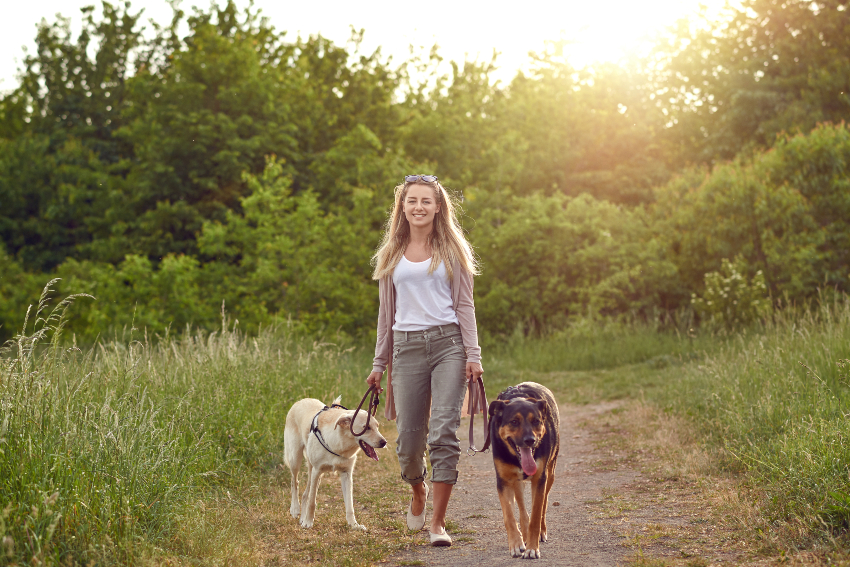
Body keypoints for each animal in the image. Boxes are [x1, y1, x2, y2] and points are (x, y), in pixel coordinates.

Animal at [284, 398, 386, 532]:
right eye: (366, 427)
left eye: (377, 427)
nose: (384, 442)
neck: (340, 444)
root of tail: (302, 400)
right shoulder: (317, 471)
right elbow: (312, 502)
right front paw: (308, 522)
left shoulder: (346, 474)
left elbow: (350, 504)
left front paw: (354, 525)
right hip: (296, 458)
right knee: (294, 481)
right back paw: (295, 509)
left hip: (312, 469)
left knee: (306, 493)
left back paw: (302, 517)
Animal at [486, 382, 560, 560]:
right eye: (514, 421)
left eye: (536, 421)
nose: (530, 440)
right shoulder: (504, 481)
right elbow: (510, 517)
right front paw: (516, 544)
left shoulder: (540, 479)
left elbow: (536, 515)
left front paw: (532, 548)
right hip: (516, 481)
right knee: (521, 507)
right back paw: (523, 535)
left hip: (550, 474)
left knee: (543, 504)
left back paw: (541, 531)